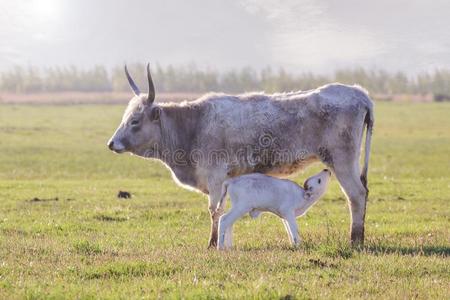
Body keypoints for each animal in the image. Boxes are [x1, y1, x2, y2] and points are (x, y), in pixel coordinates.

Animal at [107, 63, 374, 248]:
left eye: (135, 121)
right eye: (125, 117)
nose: (111, 143)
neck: (193, 125)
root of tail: (357, 92)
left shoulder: (215, 177)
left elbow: (214, 210)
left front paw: (212, 244)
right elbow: (225, 211)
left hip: (342, 160)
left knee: (356, 195)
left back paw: (355, 240)